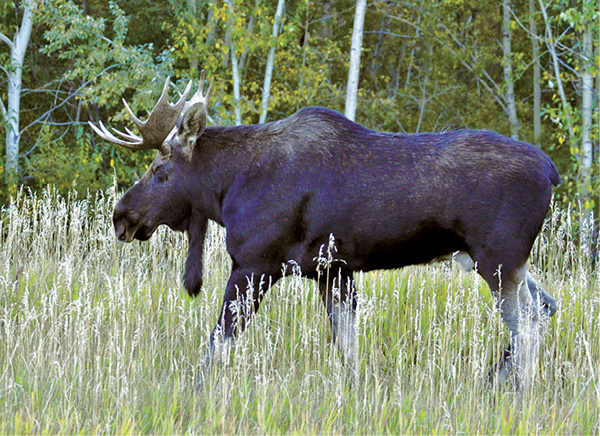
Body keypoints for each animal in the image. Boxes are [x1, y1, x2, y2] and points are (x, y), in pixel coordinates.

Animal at [89, 75, 556, 388]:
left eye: (159, 170)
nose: (121, 216)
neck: (225, 191)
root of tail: (553, 174)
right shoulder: (333, 270)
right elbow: (347, 350)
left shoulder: (254, 265)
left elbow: (217, 343)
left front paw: (197, 392)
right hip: (497, 261)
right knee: (546, 306)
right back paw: (495, 383)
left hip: (497, 258)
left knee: (528, 322)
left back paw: (518, 392)